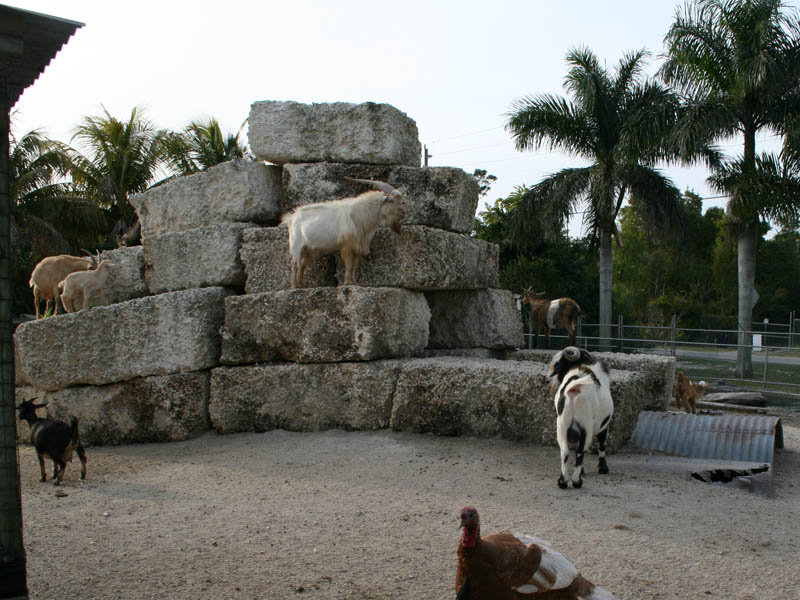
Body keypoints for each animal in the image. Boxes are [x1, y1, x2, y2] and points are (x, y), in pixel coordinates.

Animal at [548, 344, 616, 490]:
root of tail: (574, 388)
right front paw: (603, 468)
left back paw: (562, 482)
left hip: (561, 427)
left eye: (558, 363)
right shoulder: (604, 426)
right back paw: (576, 481)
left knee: (565, 452)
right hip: (586, 427)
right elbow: (602, 444)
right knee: (580, 452)